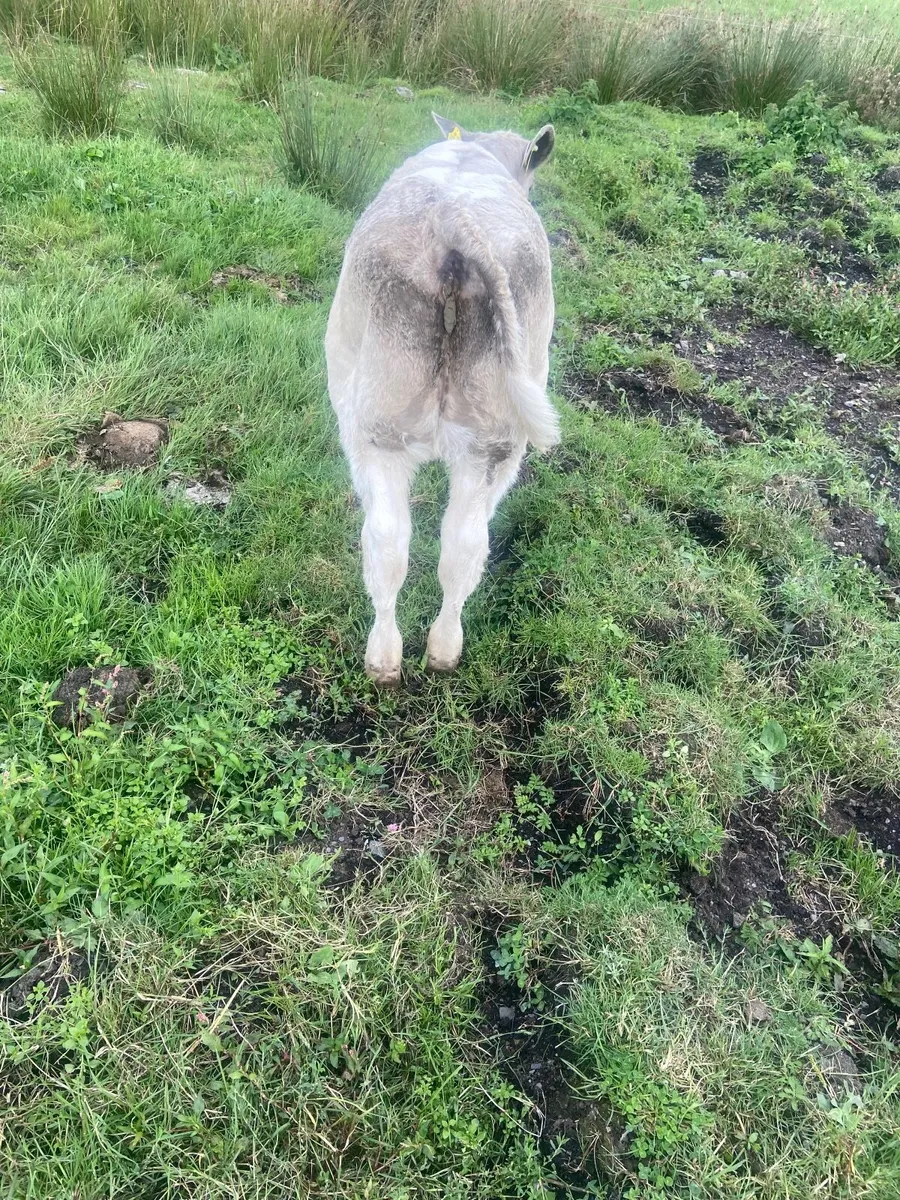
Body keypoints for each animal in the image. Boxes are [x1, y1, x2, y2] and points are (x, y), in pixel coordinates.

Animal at [325, 112, 558, 686]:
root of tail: (455, 222)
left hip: (383, 429)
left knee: (398, 544)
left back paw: (396, 657)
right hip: (486, 438)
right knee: (450, 545)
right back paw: (430, 654)